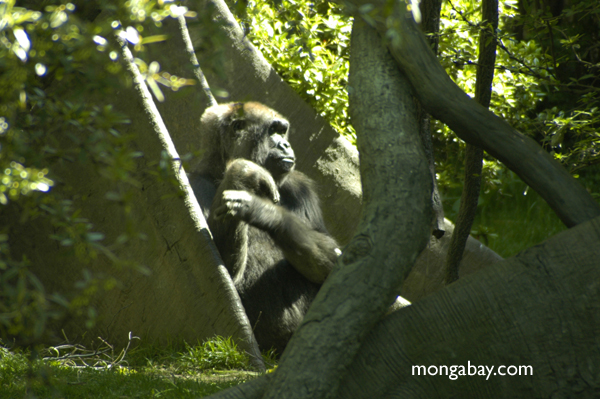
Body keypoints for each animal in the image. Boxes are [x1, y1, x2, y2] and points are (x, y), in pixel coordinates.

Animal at [190, 101, 340, 354]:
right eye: (273, 131)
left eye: (282, 131)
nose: (286, 145)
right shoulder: (194, 184)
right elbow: (220, 272)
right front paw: (243, 172)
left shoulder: (300, 186)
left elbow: (332, 261)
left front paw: (268, 214)